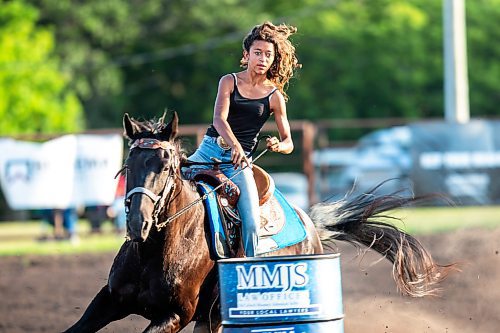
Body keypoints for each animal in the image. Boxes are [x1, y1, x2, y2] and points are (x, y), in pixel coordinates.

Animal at [64, 113, 456, 330]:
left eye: (165, 166)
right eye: (129, 164)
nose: (137, 223)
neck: (157, 250)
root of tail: (308, 223)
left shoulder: (174, 315)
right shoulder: (109, 300)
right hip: (211, 319)